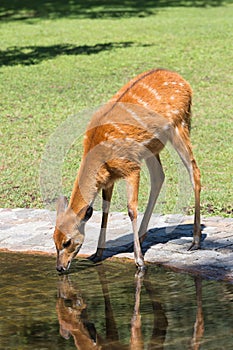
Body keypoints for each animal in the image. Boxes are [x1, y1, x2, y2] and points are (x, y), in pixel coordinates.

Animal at [52, 67, 200, 272]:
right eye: (54, 240)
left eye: (67, 242)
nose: (60, 267)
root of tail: (183, 81)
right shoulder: (109, 178)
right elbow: (105, 209)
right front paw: (96, 254)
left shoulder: (131, 167)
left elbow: (131, 209)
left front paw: (140, 262)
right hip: (152, 146)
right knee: (159, 176)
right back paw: (141, 237)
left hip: (180, 125)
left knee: (194, 171)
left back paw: (195, 241)